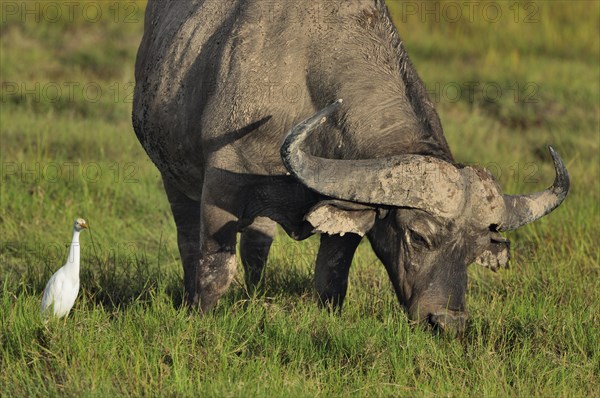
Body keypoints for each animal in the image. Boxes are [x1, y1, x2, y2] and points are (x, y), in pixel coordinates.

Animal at [131, 1, 568, 334]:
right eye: (418, 236)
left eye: (476, 250)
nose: (447, 323)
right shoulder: (221, 188)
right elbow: (215, 268)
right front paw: (199, 317)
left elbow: (331, 279)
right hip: (173, 178)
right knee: (188, 241)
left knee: (257, 245)